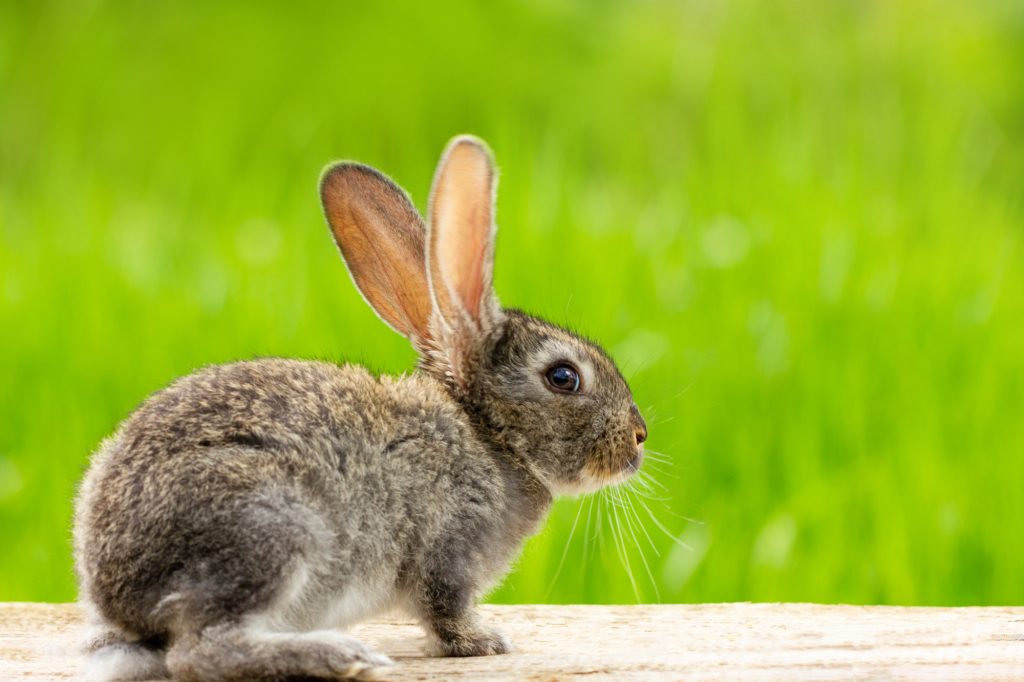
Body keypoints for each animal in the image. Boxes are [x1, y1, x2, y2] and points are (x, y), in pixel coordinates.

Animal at [73, 135, 649, 682]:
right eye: (564, 377)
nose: (639, 438)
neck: (487, 433)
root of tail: (115, 589)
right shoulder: (447, 548)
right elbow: (445, 609)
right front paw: (482, 642)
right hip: (271, 530)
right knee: (201, 651)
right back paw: (338, 655)